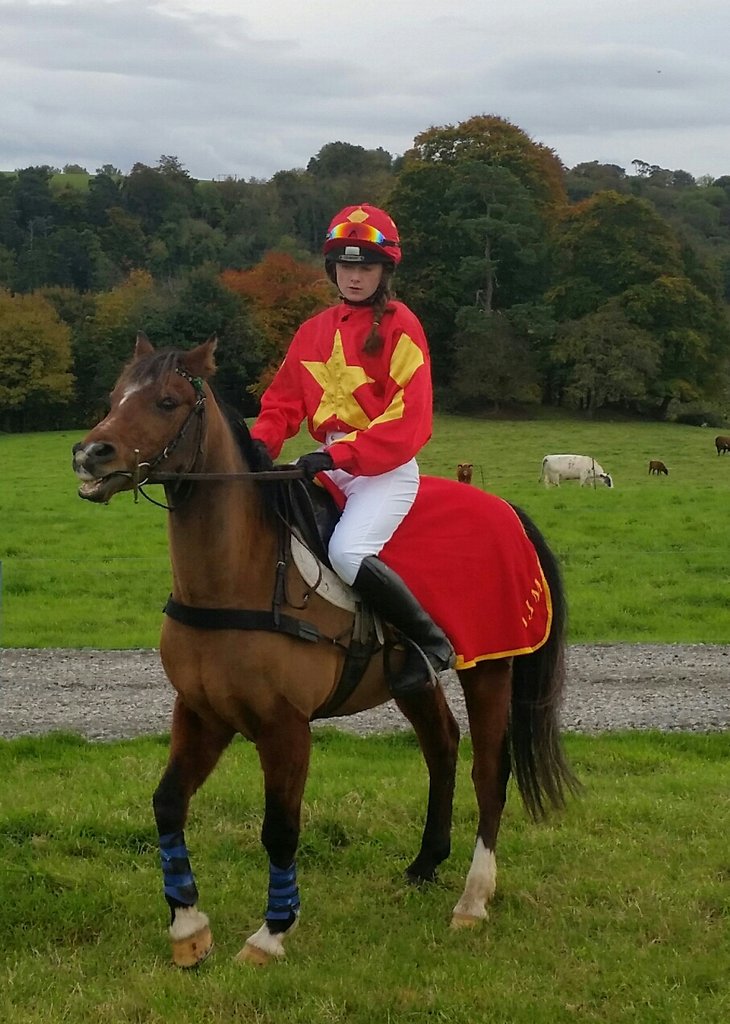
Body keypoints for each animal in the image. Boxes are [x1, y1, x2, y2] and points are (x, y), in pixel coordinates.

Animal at [71, 335, 577, 968]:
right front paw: (188, 926)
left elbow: (281, 828)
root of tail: (506, 509)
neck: (241, 574)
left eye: (166, 401)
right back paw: (425, 863)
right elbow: (167, 802)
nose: (89, 454)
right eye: (116, 395)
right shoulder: (202, 713)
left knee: (489, 769)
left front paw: (271, 933)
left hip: (489, 671)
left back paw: (473, 898)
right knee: (441, 747)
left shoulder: (285, 727)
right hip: (413, 681)